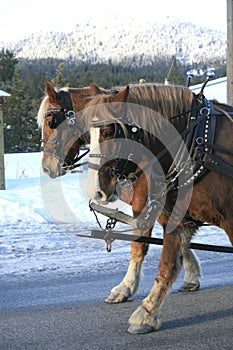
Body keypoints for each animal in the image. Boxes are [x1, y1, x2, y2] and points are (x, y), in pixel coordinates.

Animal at [85, 84, 233, 334]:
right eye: (89, 135)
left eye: (109, 131)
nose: (97, 191)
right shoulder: (176, 218)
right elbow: (165, 265)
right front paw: (146, 314)